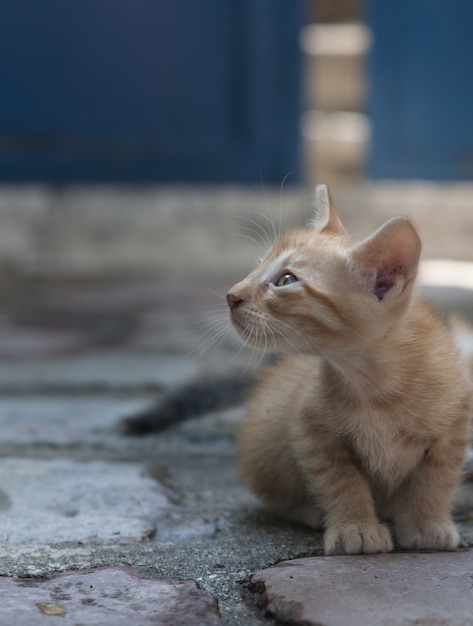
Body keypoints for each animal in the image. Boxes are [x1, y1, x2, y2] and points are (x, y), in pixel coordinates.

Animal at [227, 183, 470, 552]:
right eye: (257, 266)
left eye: (286, 280)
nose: (231, 296)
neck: (376, 384)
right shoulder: (311, 430)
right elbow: (341, 481)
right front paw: (356, 527)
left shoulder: (454, 427)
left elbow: (436, 477)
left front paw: (428, 523)